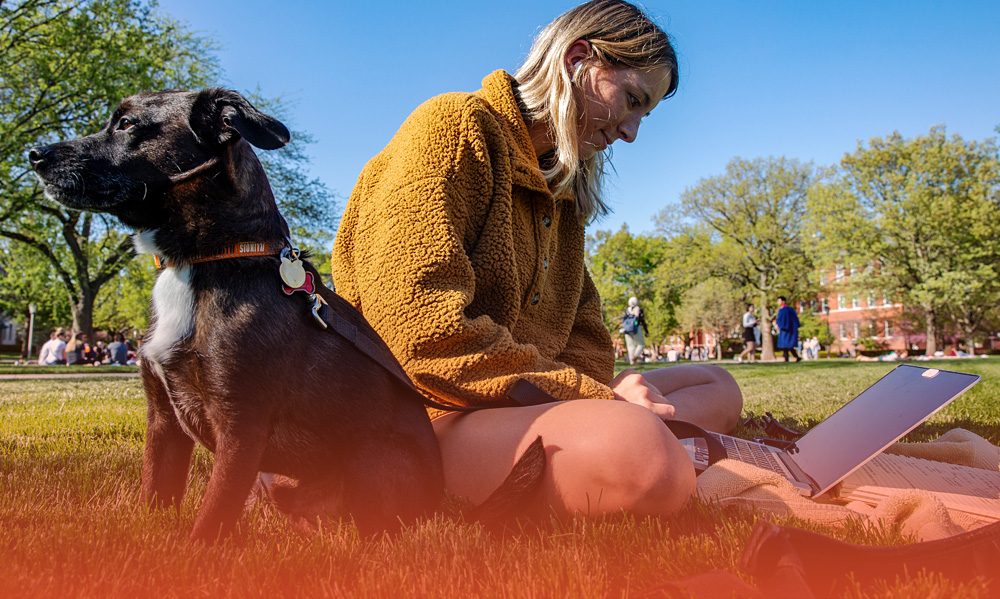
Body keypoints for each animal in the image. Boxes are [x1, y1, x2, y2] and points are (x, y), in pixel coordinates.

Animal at [29, 89, 548, 544]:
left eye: (126, 125)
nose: (34, 153)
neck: (208, 260)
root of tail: (440, 505)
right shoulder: (163, 423)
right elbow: (156, 500)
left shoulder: (241, 428)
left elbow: (211, 519)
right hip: (279, 480)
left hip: (370, 454)